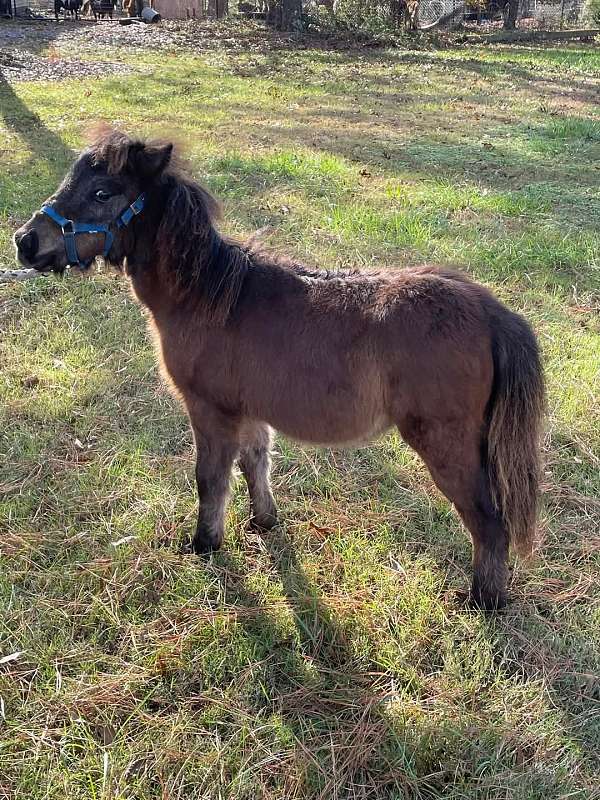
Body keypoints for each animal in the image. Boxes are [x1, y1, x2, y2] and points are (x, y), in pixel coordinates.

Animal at [12, 128, 548, 608]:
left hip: (445, 443)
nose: (25, 241)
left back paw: (483, 601)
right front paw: (262, 522)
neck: (209, 296)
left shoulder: (210, 411)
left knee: (489, 520)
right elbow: (255, 462)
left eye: (103, 192)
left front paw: (205, 545)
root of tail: (490, 311)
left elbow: (211, 478)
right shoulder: (248, 410)